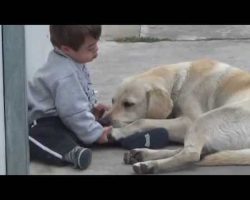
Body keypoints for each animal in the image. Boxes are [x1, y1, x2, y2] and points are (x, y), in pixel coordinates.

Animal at [107, 59, 250, 173]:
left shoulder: (189, 121)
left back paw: (150, 165)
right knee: (198, 152)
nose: (103, 120)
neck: (179, 80)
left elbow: (142, 121)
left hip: (202, 120)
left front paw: (118, 132)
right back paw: (142, 154)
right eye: (113, 101)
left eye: (128, 104)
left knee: (192, 154)